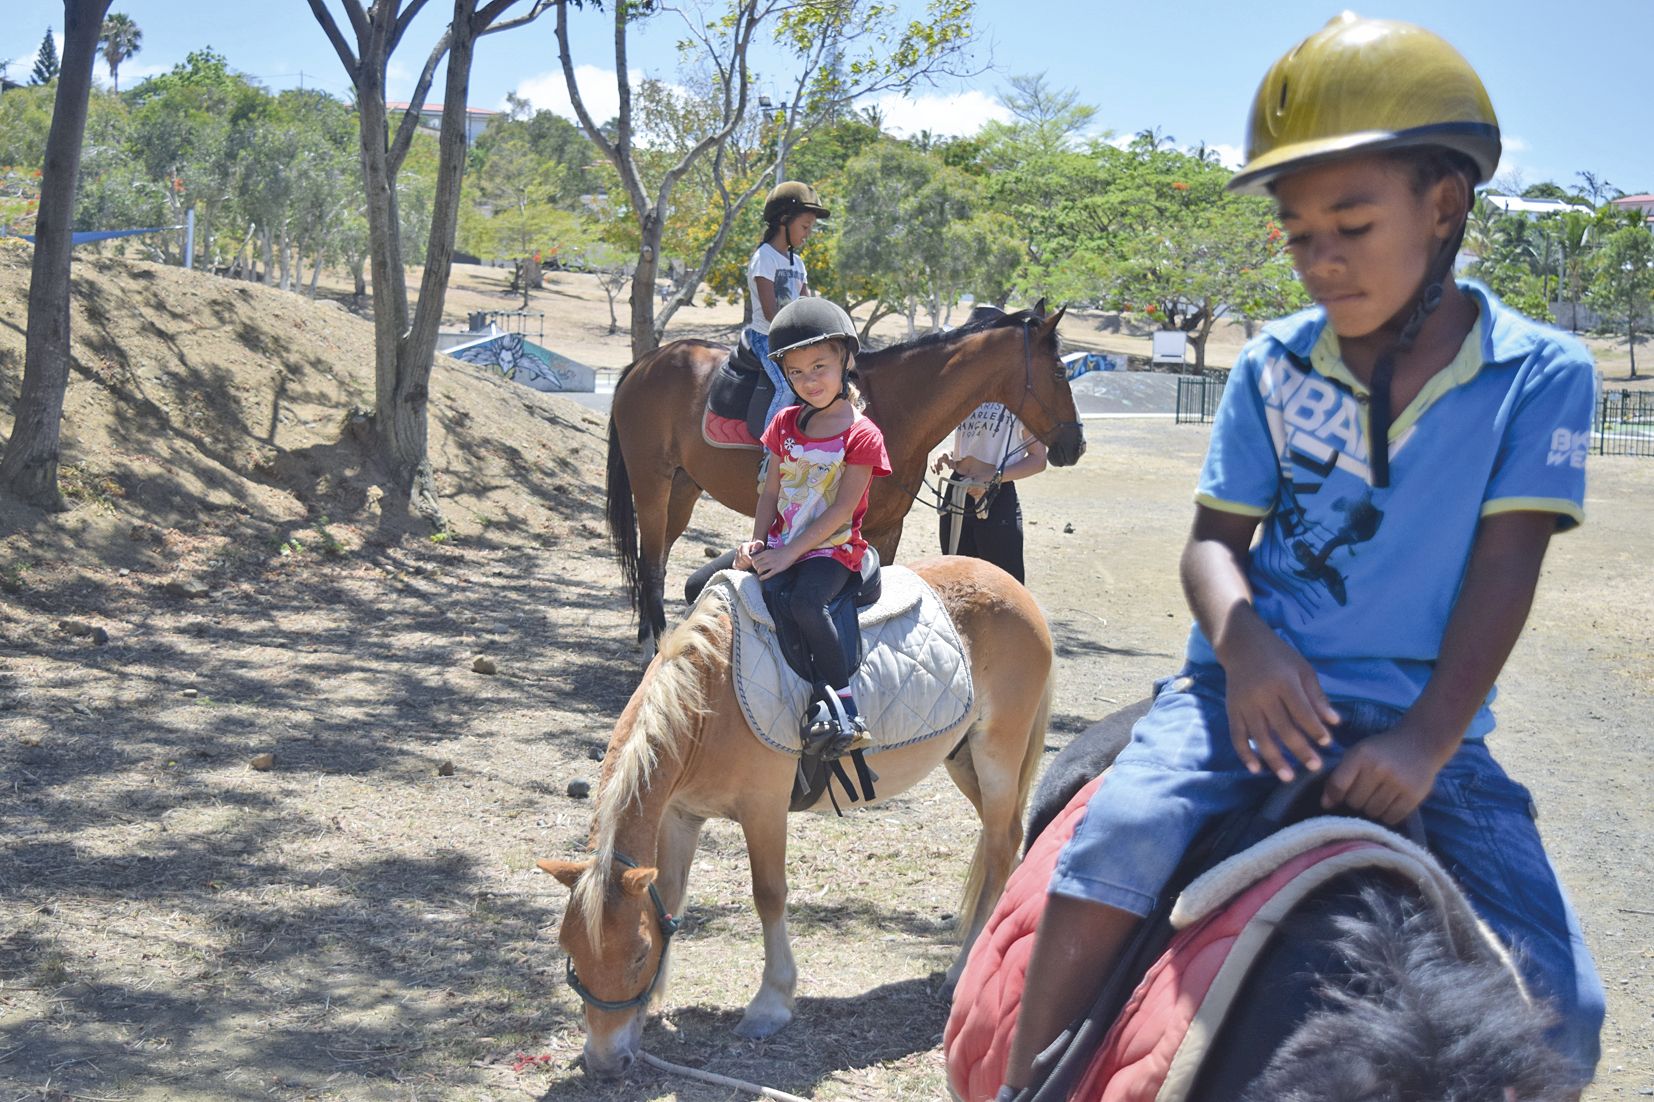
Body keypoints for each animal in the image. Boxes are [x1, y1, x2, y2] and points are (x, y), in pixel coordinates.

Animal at [542, 559, 1058, 1072]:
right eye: (571, 951)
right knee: (1002, 841)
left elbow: (768, 896)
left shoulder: (764, 809)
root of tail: (1015, 589)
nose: (605, 1061)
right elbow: (669, 898)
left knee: (1000, 846)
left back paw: (962, 968)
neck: (709, 698)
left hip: (997, 754)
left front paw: (770, 1004)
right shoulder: (681, 815)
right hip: (964, 759)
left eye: (638, 955)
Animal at [608, 301, 1085, 645]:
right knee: (650, 563)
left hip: (683, 489)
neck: (892, 408)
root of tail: (644, 363)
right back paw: (653, 644)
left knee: (658, 558)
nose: (1076, 445)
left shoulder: (886, 528)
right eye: (1061, 370)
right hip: (652, 484)